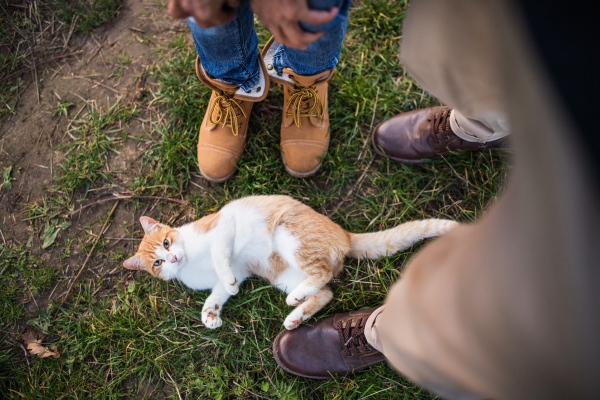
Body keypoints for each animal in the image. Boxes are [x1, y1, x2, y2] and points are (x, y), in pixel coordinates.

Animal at [123, 195, 460, 330]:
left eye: (167, 243)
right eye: (157, 263)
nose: (172, 257)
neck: (192, 262)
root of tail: (345, 234)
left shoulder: (222, 228)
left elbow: (221, 259)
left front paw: (227, 287)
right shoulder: (237, 272)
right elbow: (217, 294)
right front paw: (210, 315)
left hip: (289, 236)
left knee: (322, 274)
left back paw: (296, 301)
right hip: (282, 274)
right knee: (326, 292)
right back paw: (296, 315)